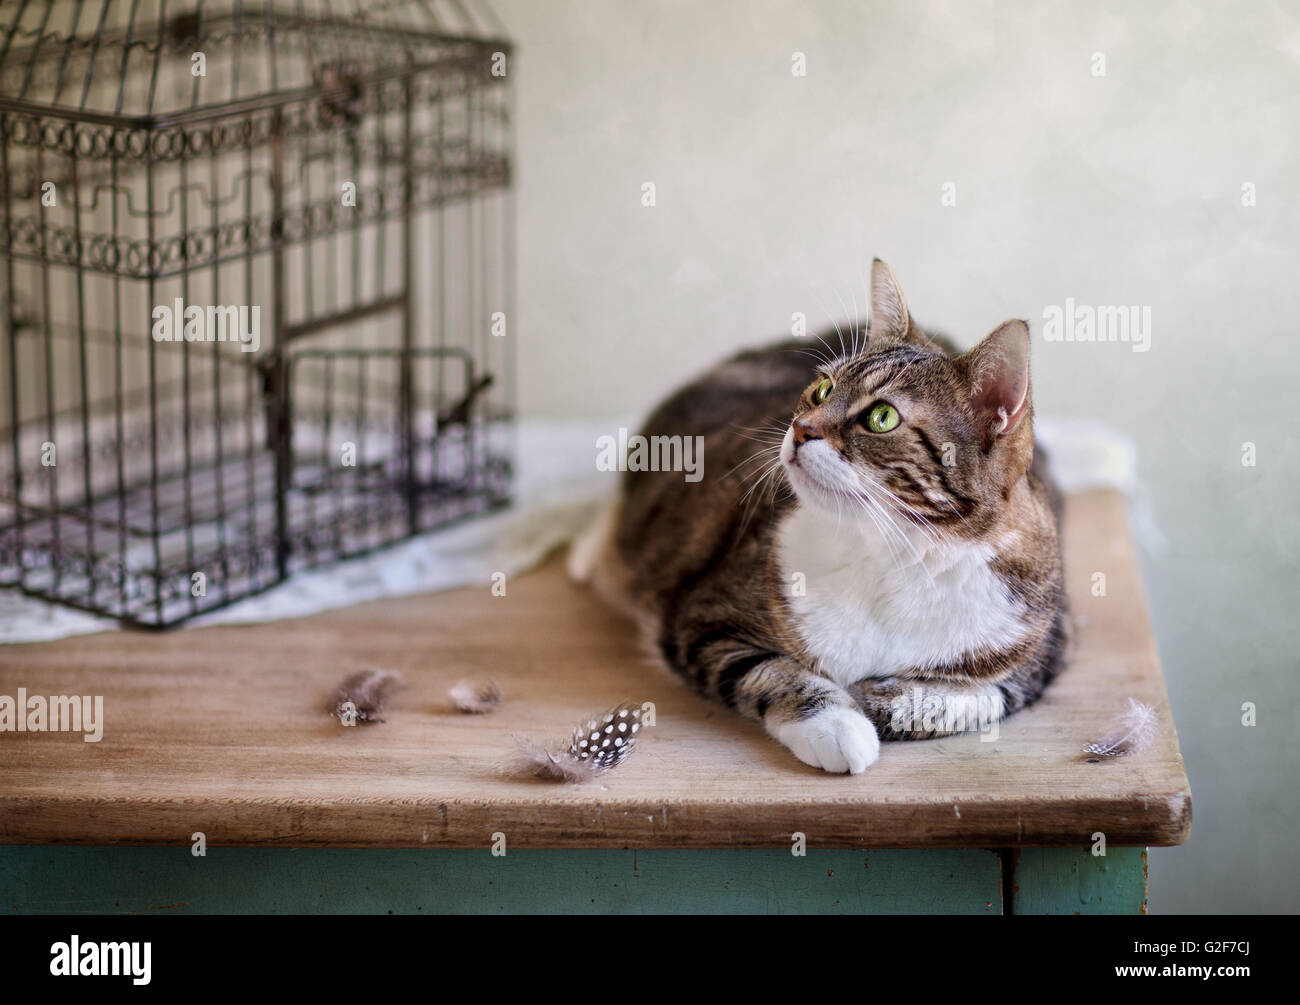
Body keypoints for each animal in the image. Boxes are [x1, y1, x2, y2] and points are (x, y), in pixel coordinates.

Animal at [572, 262, 1066, 774]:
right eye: (822, 389)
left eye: (882, 416)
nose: (798, 429)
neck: (891, 555)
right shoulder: (702, 617)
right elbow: (768, 671)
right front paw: (837, 725)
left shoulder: (1037, 650)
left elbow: (966, 699)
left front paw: (876, 699)